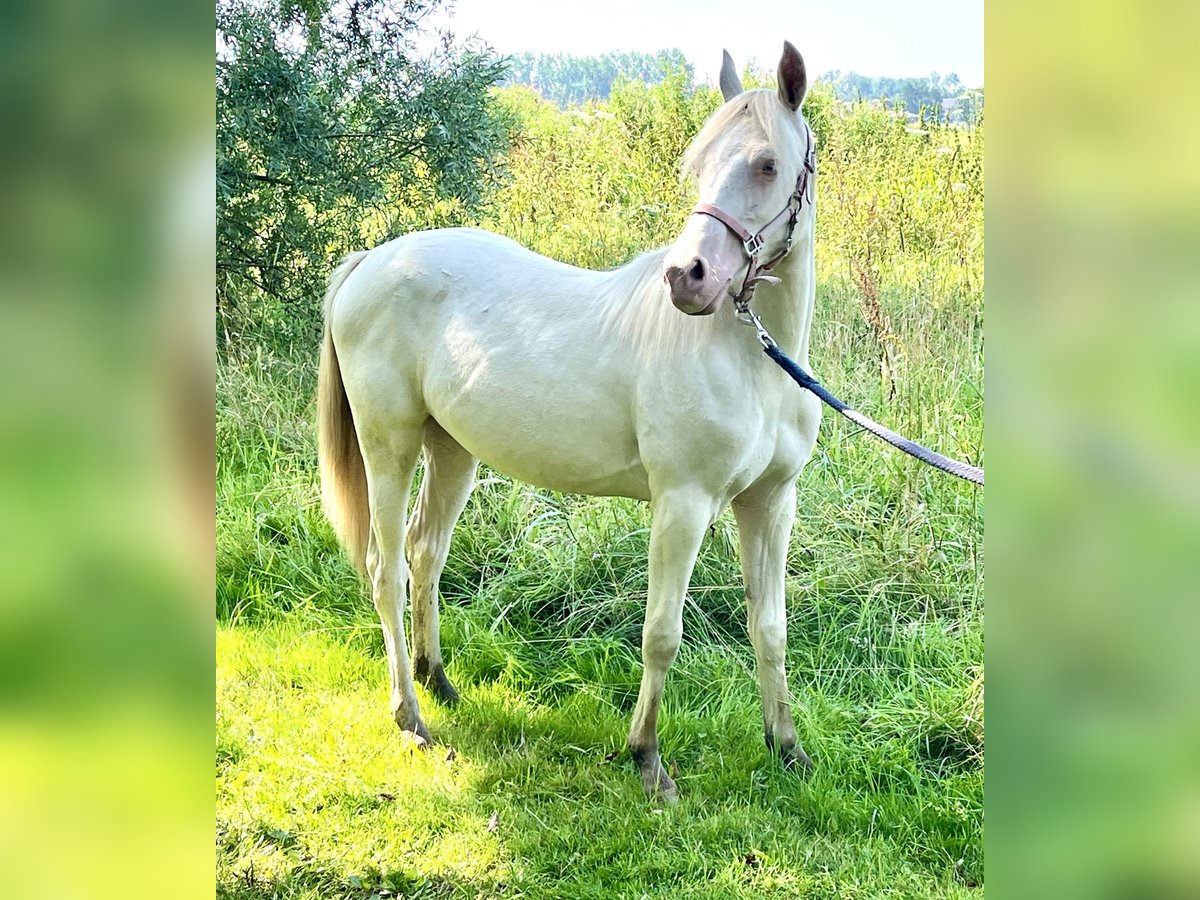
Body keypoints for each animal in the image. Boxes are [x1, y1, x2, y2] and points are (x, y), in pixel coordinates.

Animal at [319, 44, 825, 801]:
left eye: (767, 163)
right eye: (698, 163)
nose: (688, 277)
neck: (753, 361)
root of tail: (370, 262)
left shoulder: (771, 502)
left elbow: (770, 627)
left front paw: (786, 748)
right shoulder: (683, 503)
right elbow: (661, 633)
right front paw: (647, 760)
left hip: (453, 452)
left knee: (425, 554)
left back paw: (439, 681)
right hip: (390, 448)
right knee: (387, 571)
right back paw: (410, 715)